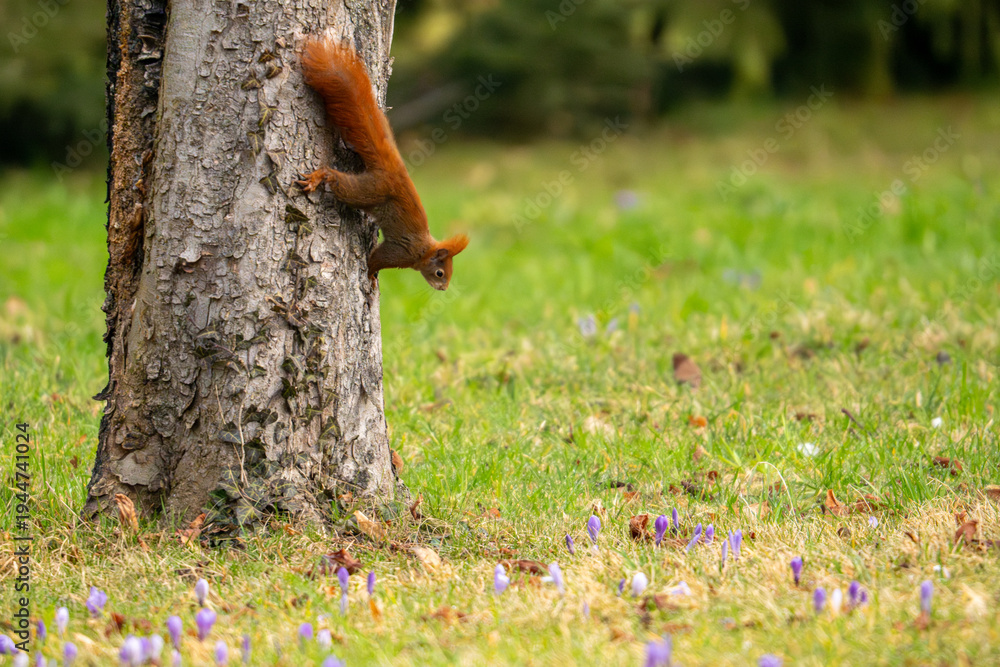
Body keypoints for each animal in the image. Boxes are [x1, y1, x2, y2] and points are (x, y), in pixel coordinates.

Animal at [296, 38, 468, 291]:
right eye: (440, 273)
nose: (443, 289)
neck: (424, 251)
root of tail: (394, 169)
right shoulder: (401, 251)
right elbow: (377, 259)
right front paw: (370, 276)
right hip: (370, 190)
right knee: (337, 181)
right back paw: (319, 176)